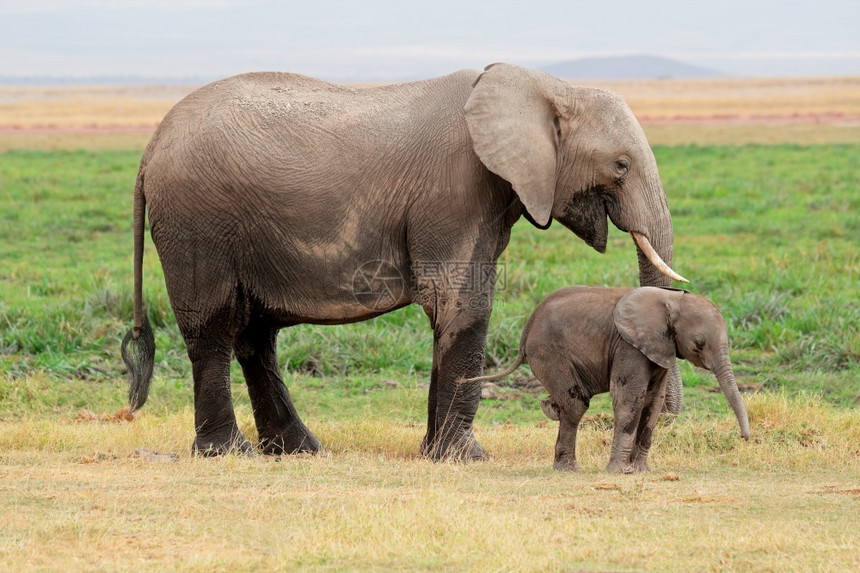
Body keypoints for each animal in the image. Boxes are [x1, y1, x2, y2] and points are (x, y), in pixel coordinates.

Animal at [121, 61, 684, 460]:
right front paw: (466, 458)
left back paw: (298, 451)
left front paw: (435, 454)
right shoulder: (454, 193)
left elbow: (449, 310)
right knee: (214, 329)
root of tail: (148, 150)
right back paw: (227, 453)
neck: (547, 85)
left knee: (256, 336)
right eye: (621, 166)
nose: (669, 419)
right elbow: (464, 304)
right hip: (197, 222)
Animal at [460, 286, 748, 474]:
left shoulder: (659, 347)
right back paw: (568, 469)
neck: (671, 300)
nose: (745, 438)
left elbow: (653, 402)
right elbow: (629, 400)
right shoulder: (628, 347)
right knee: (576, 405)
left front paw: (642, 471)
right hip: (548, 353)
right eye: (699, 344)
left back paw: (549, 410)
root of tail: (525, 332)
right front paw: (619, 472)